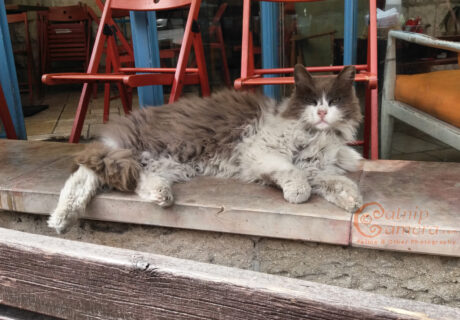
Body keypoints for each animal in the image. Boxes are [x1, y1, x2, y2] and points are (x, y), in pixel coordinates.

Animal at [47, 65, 362, 234]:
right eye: (312, 101)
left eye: (334, 101)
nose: (322, 112)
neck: (316, 136)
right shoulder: (262, 152)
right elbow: (294, 174)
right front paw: (298, 193)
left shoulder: (314, 165)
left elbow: (334, 181)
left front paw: (353, 200)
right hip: (135, 151)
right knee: (84, 176)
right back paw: (61, 218)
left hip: (164, 162)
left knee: (138, 182)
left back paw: (161, 195)